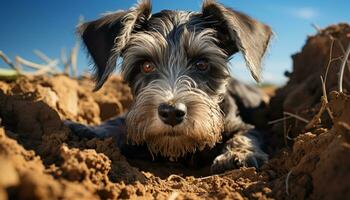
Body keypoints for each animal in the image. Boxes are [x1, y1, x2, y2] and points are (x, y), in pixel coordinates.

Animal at [67, 0, 272, 173]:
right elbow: (120, 123)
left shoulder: (242, 125)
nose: (172, 112)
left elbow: (246, 134)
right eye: (146, 65)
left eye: (202, 64)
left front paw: (240, 154)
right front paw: (90, 128)